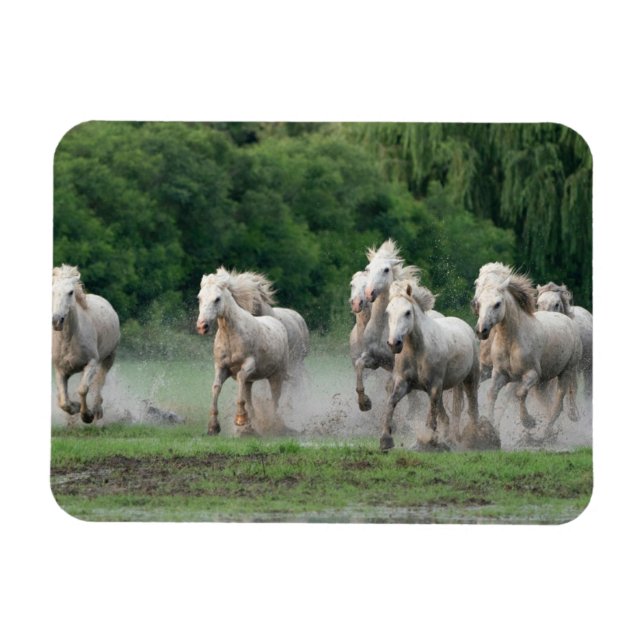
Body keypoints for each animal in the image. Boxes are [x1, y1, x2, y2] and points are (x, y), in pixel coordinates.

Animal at [52, 265, 120, 424]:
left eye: (70, 292)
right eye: (52, 291)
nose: (56, 320)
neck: (69, 340)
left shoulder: (91, 363)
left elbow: (83, 389)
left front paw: (87, 415)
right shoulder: (60, 369)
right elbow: (63, 401)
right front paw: (75, 407)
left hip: (109, 357)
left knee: (99, 382)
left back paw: (97, 410)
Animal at [196, 272, 289, 436]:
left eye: (217, 299)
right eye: (199, 298)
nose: (202, 326)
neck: (230, 334)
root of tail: (278, 323)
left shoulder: (248, 364)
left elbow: (239, 377)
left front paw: (240, 419)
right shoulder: (221, 367)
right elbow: (216, 387)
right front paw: (213, 427)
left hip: (276, 376)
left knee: (275, 400)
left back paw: (272, 427)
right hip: (250, 381)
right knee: (250, 398)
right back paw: (251, 427)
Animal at [380, 280, 480, 451]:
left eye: (407, 312)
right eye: (388, 313)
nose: (394, 343)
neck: (417, 351)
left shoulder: (434, 387)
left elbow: (431, 416)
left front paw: (426, 442)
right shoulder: (404, 383)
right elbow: (391, 402)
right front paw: (386, 440)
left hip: (470, 379)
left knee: (472, 408)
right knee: (447, 415)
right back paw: (448, 439)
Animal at [472, 263, 582, 434]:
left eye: (497, 304)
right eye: (481, 302)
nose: (481, 330)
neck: (510, 341)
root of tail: (566, 319)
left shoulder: (532, 375)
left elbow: (519, 394)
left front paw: (528, 422)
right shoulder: (499, 374)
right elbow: (492, 394)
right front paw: (489, 427)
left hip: (566, 372)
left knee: (558, 404)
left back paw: (547, 433)